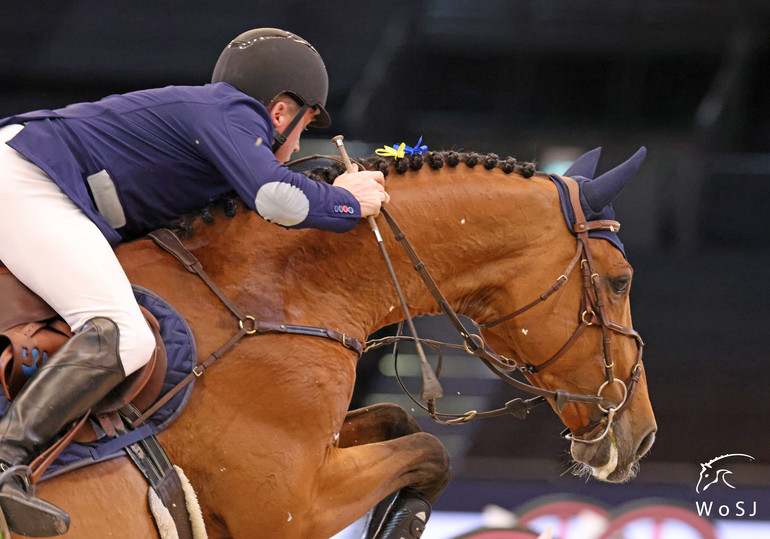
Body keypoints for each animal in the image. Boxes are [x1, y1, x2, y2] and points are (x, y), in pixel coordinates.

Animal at [21, 149, 652, 539]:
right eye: (621, 281)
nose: (642, 435)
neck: (280, 293)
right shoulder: (293, 509)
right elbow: (432, 451)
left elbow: (398, 422)